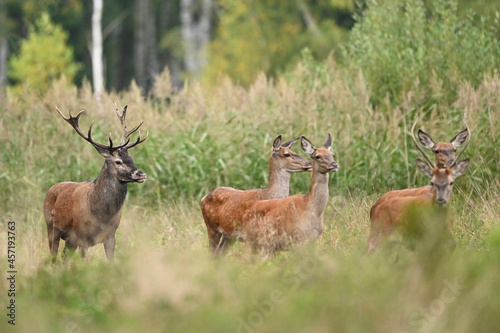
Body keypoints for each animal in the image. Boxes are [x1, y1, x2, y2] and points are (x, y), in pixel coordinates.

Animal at [43, 102, 146, 260]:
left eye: (132, 158)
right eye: (118, 161)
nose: (141, 174)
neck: (101, 214)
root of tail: (51, 188)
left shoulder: (111, 236)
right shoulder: (82, 236)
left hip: (69, 240)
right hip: (51, 228)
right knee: (54, 257)